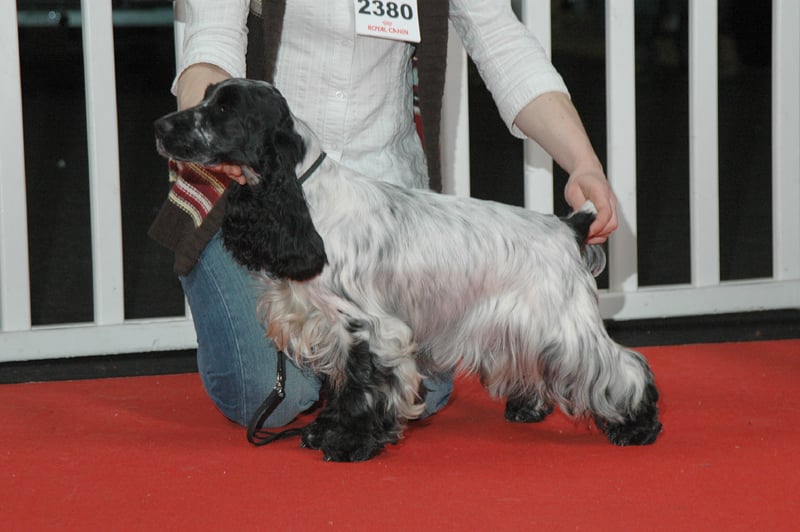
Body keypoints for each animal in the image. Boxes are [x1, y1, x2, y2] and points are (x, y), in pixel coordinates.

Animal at [155, 78, 662, 462]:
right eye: (205, 97)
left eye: (223, 110)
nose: (160, 125)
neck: (305, 200)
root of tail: (570, 226)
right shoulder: (326, 325)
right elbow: (341, 385)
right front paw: (324, 431)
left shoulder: (369, 327)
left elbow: (362, 386)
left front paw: (348, 443)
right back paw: (528, 407)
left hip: (564, 323)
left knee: (622, 367)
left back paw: (637, 426)